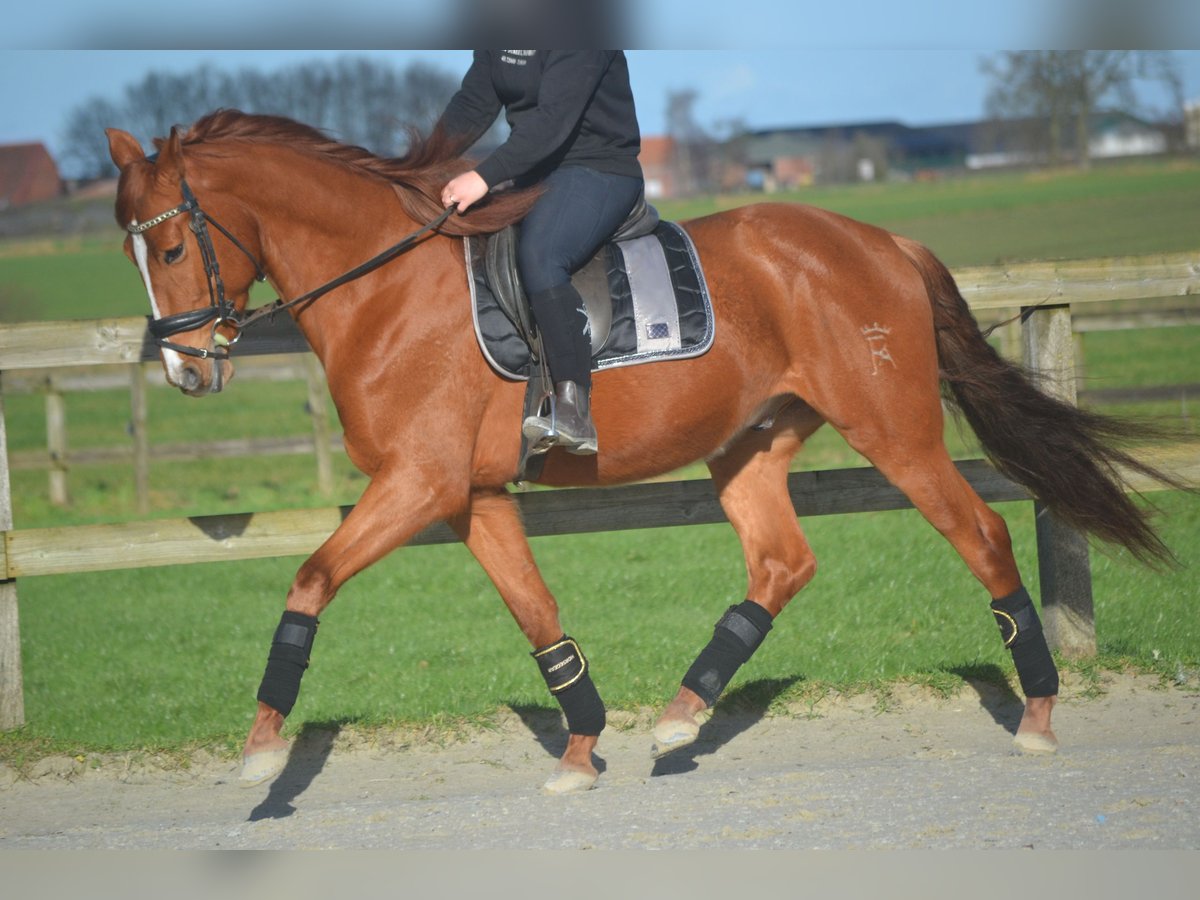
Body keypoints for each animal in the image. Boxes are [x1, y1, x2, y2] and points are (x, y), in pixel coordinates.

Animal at [105, 112, 1171, 796]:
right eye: (131, 252)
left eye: (169, 249)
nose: (186, 370)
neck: (386, 289)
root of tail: (879, 241)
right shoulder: (470, 496)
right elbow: (537, 615)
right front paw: (581, 748)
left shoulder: (416, 484)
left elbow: (310, 579)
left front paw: (261, 748)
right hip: (750, 447)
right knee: (782, 563)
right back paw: (682, 713)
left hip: (896, 434)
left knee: (982, 533)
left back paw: (1037, 716)